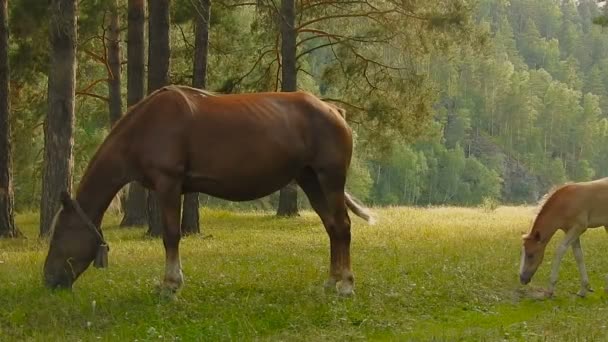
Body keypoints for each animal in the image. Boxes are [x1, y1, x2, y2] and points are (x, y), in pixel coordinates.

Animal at [42, 84, 376, 296]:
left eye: (59, 234)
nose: (48, 280)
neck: (145, 126)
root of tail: (333, 110)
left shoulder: (169, 183)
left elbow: (170, 235)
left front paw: (170, 284)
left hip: (329, 178)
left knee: (342, 226)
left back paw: (346, 285)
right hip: (310, 179)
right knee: (332, 227)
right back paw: (331, 282)